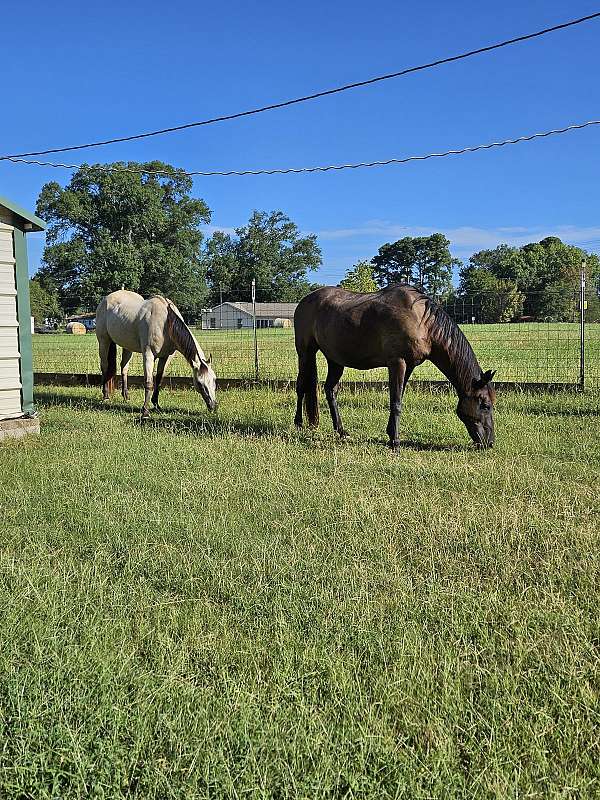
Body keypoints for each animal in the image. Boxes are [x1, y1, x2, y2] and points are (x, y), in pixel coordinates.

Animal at [292, 286, 494, 450]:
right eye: (485, 405)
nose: (490, 442)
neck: (421, 320)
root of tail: (305, 300)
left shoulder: (409, 366)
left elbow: (398, 398)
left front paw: (391, 435)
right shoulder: (397, 362)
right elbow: (396, 402)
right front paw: (395, 442)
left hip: (335, 360)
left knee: (330, 390)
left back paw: (340, 430)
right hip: (305, 353)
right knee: (301, 386)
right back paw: (298, 423)